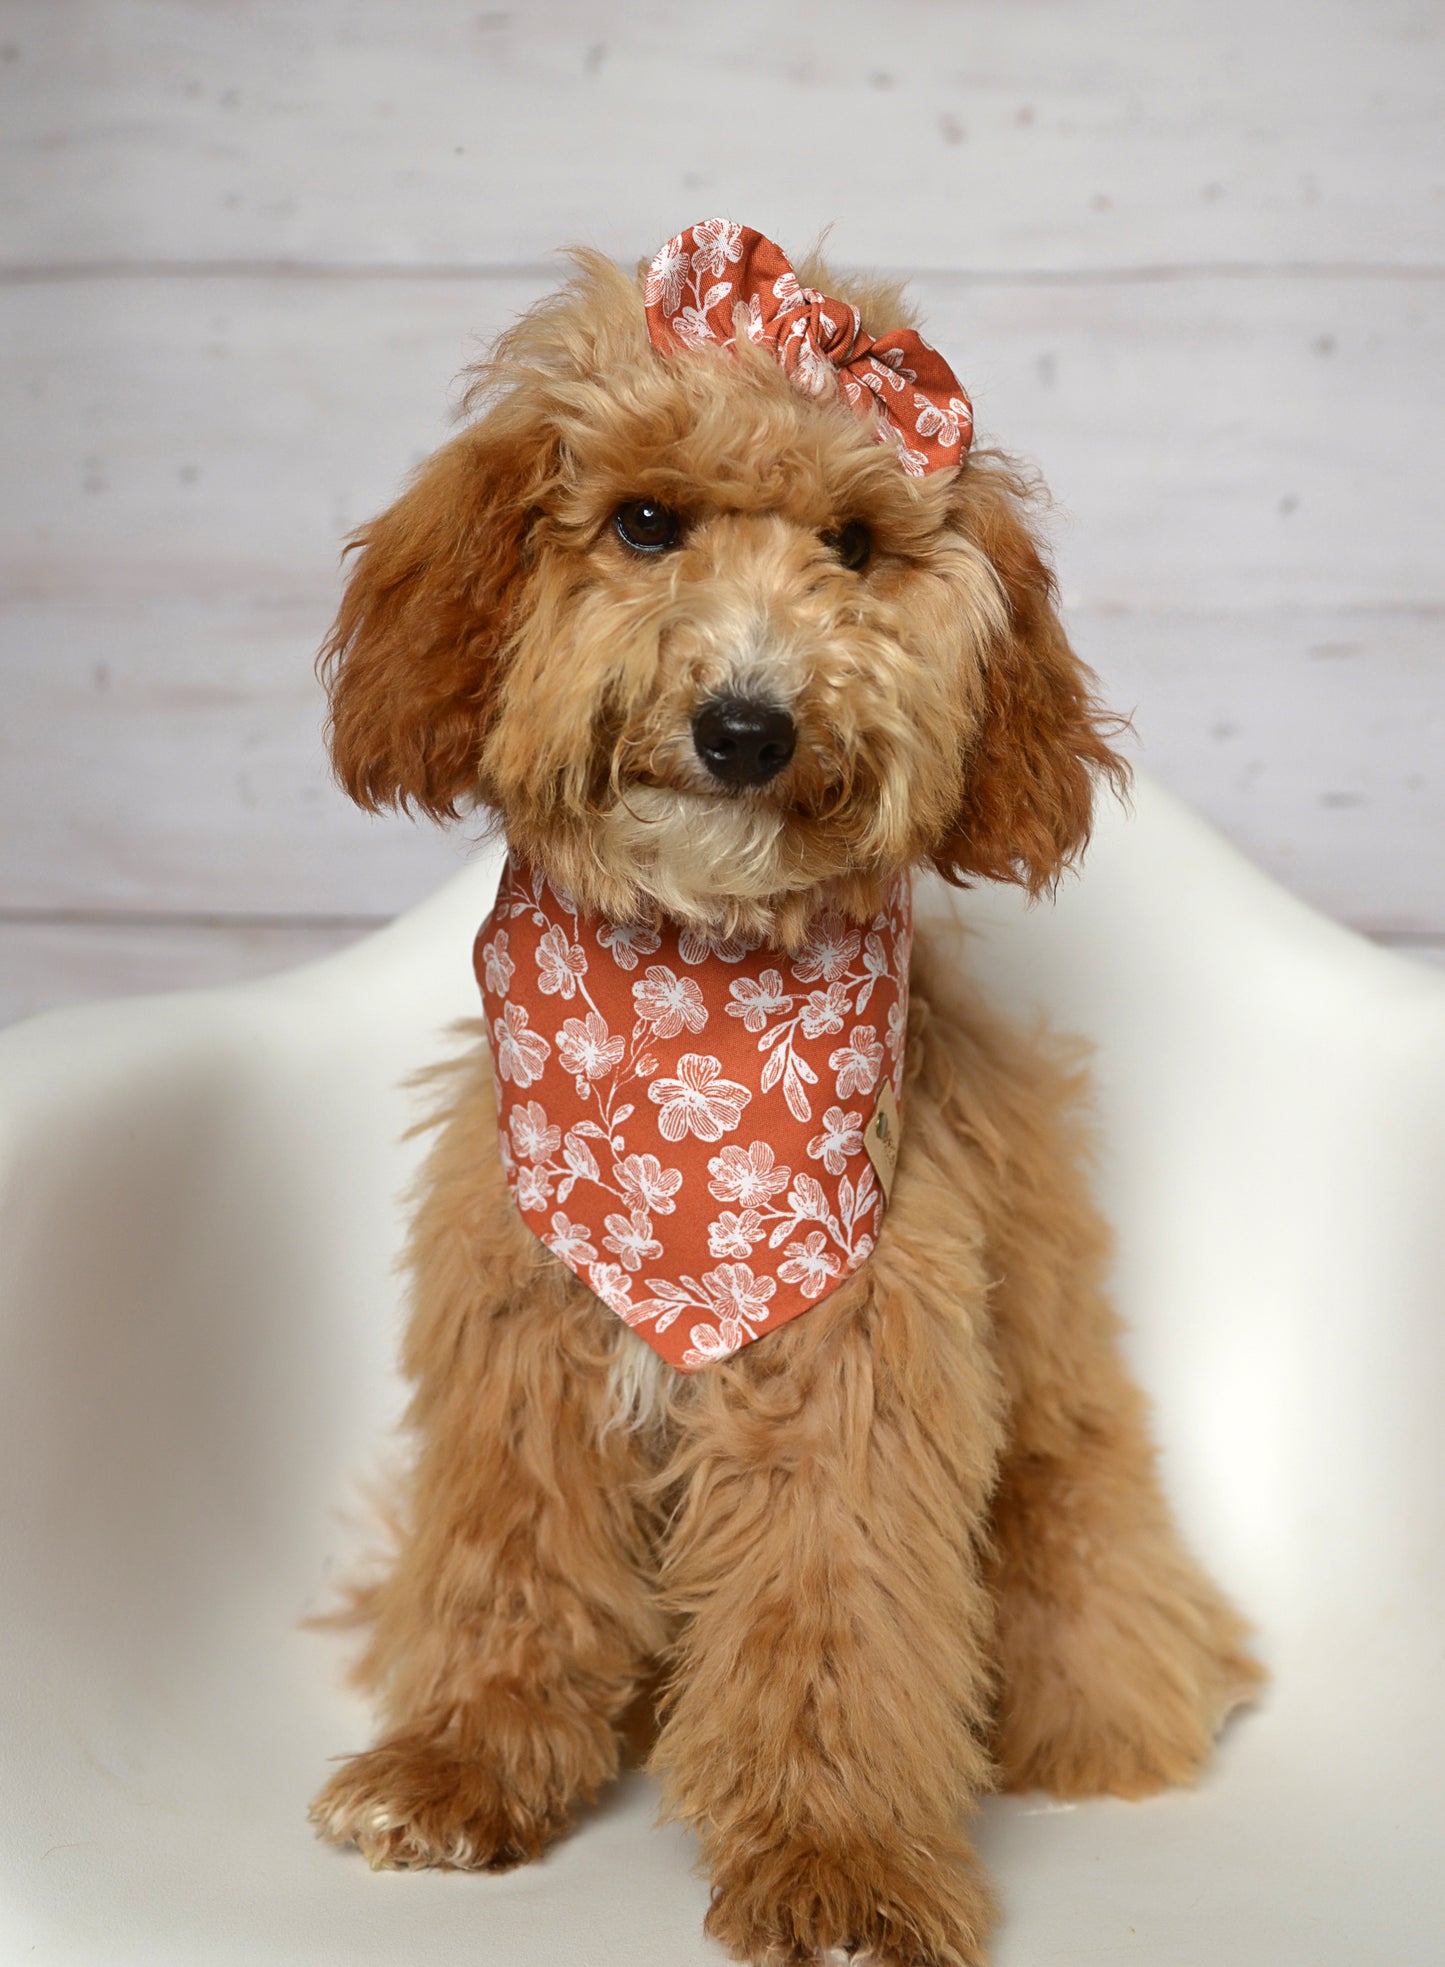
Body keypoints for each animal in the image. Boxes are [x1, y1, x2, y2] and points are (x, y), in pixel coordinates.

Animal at [310, 223, 1258, 1967]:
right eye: (644, 520)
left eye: (855, 545)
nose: (746, 726)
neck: (693, 1013)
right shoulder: (521, 1321)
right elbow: (507, 1562)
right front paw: (459, 1763)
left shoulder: (854, 1360)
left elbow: (833, 1626)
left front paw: (839, 1859)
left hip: (1071, 1512)